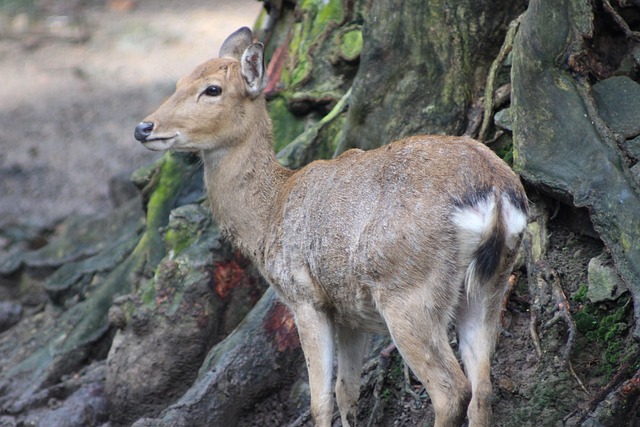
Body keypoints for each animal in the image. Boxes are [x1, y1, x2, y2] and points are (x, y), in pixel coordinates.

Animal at [132, 27, 528, 427]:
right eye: (178, 82)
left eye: (212, 89)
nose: (143, 127)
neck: (268, 215)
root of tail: (495, 193)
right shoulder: (350, 313)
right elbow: (346, 392)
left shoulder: (304, 297)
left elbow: (319, 399)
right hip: (491, 285)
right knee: (483, 390)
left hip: (407, 289)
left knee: (451, 390)